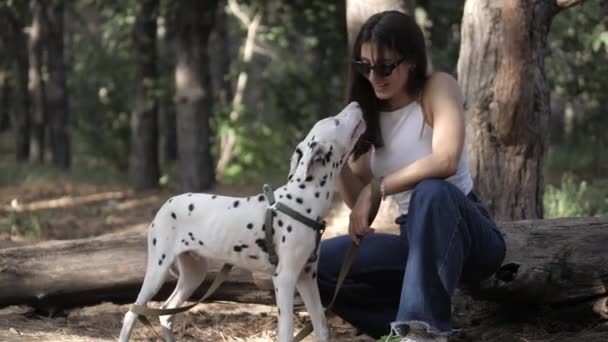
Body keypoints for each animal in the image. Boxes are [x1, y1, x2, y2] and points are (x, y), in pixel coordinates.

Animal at [120, 102, 366, 342]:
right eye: (336, 121)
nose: (356, 103)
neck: (301, 200)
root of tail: (165, 205)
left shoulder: (307, 277)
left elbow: (322, 328)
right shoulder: (285, 279)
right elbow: (286, 332)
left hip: (193, 274)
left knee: (165, 313)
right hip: (157, 272)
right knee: (132, 313)